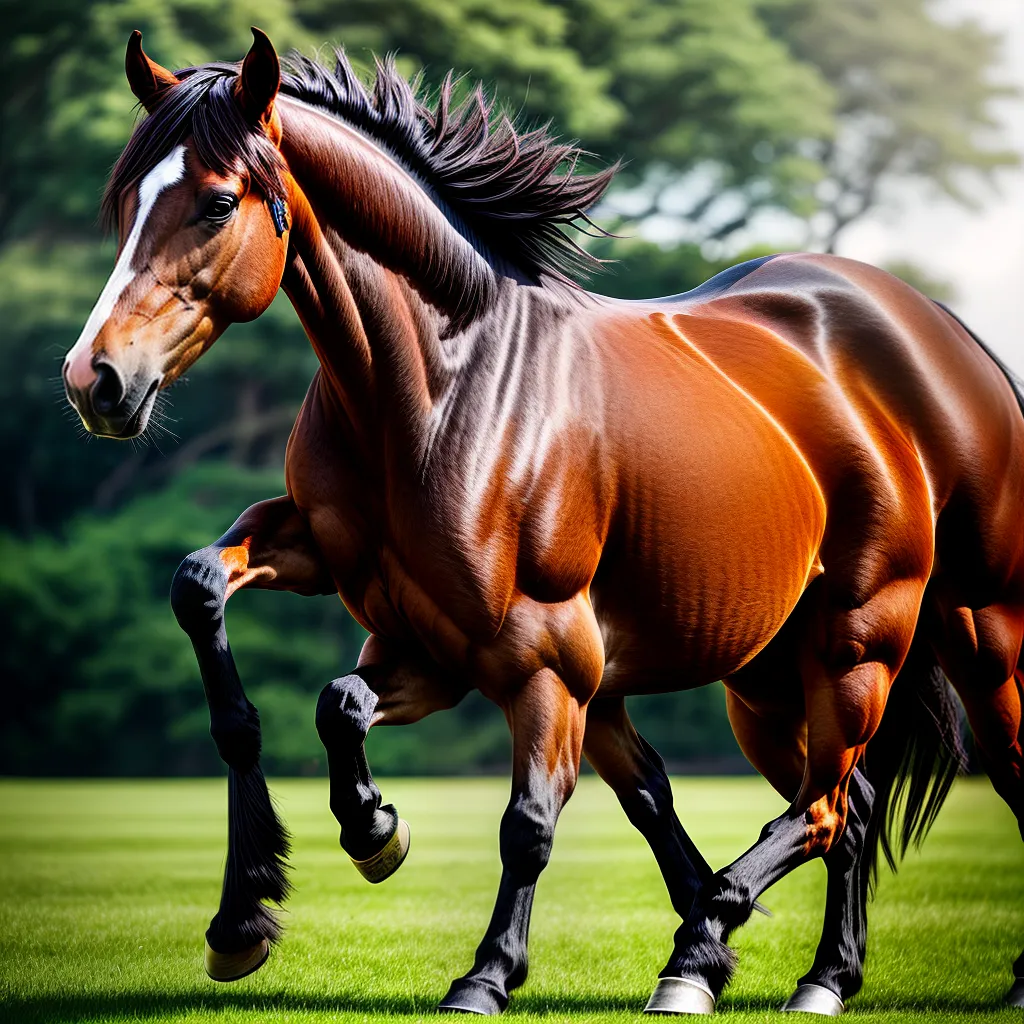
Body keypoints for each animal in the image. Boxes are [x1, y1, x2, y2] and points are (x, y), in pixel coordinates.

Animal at [61, 27, 1024, 1015]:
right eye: (126, 202)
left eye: (218, 203)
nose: (95, 379)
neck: (444, 389)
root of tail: (938, 331)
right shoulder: (404, 624)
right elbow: (272, 652)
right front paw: (305, 876)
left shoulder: (543, 657)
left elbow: (527, 822)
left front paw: (485, 972)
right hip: (768, 681)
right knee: (843, 806)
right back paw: (816, 974)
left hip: (917, 637)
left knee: (875, 798)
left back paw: (726, 956)